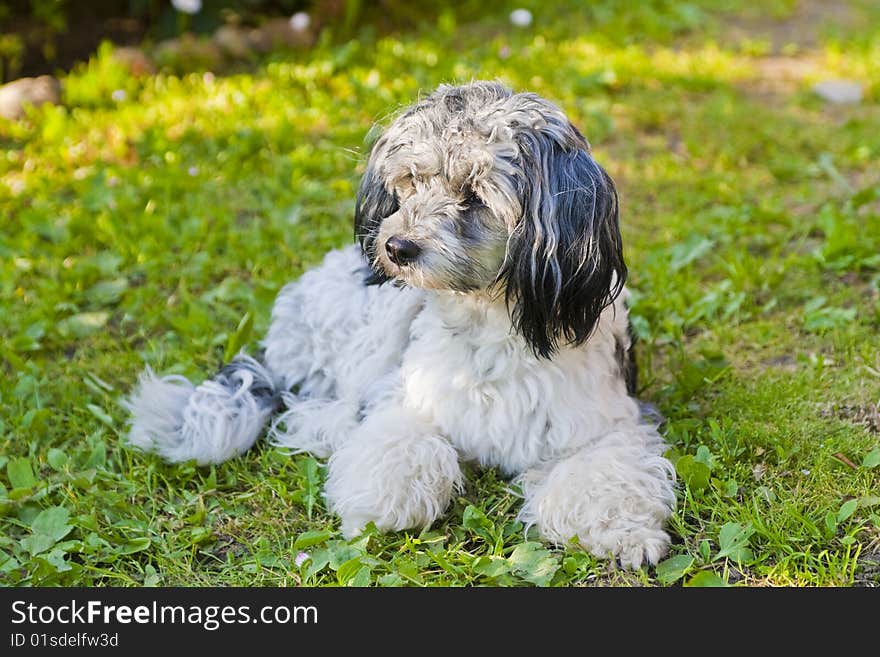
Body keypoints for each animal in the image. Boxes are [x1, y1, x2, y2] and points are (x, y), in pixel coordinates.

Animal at [122, 80, 672, 568]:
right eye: (411, 180)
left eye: (475, 195)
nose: (395, 247)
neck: (487, 326)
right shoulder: (407, 397)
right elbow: (403, 441)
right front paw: (379, 504)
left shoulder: (607, 425)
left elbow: (603, 477)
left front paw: (625, 533)